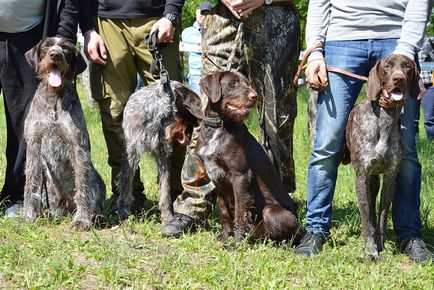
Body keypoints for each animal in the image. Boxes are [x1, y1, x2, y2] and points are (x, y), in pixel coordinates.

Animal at [23, 37, 106, 230]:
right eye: (47, 46)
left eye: (66, 49)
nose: (55, 55)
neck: (54, 96)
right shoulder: (33, 145)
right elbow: (31, 184)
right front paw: (29, 215)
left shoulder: (77, 146)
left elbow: (82, 188)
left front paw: (82, 220)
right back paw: (47, 213)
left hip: (96, 179)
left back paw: (94, 216)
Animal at [117, 80, 202, 223]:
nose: (191, 136)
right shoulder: (131, 151)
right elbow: (126, 182)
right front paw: (124, 212)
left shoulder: (163, 153)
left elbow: (165, 187)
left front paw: (167, 215)